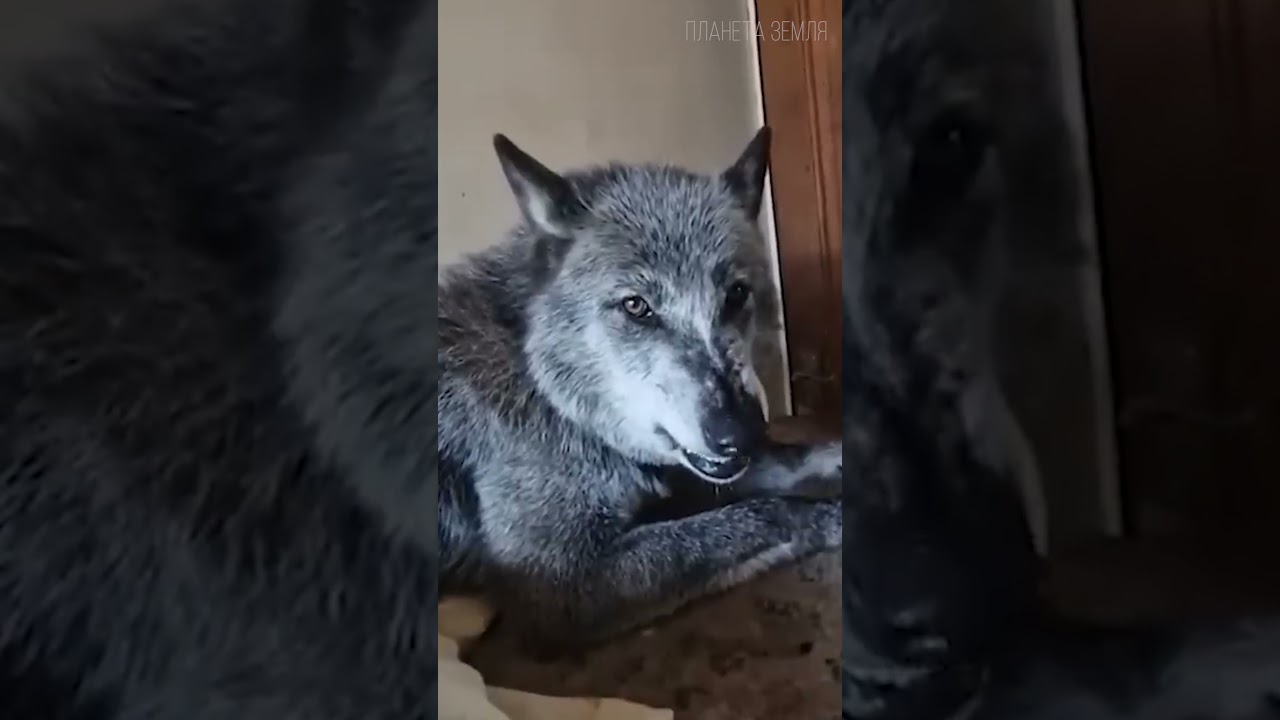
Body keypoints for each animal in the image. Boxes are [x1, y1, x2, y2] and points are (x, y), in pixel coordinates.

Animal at [436, 128, 843, 649]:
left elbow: (792, 460)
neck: (543, 388)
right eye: (636, 306)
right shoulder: (563, 584)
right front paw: (831, 516)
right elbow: (763, 513)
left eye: (736, 294)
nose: (742, 433)